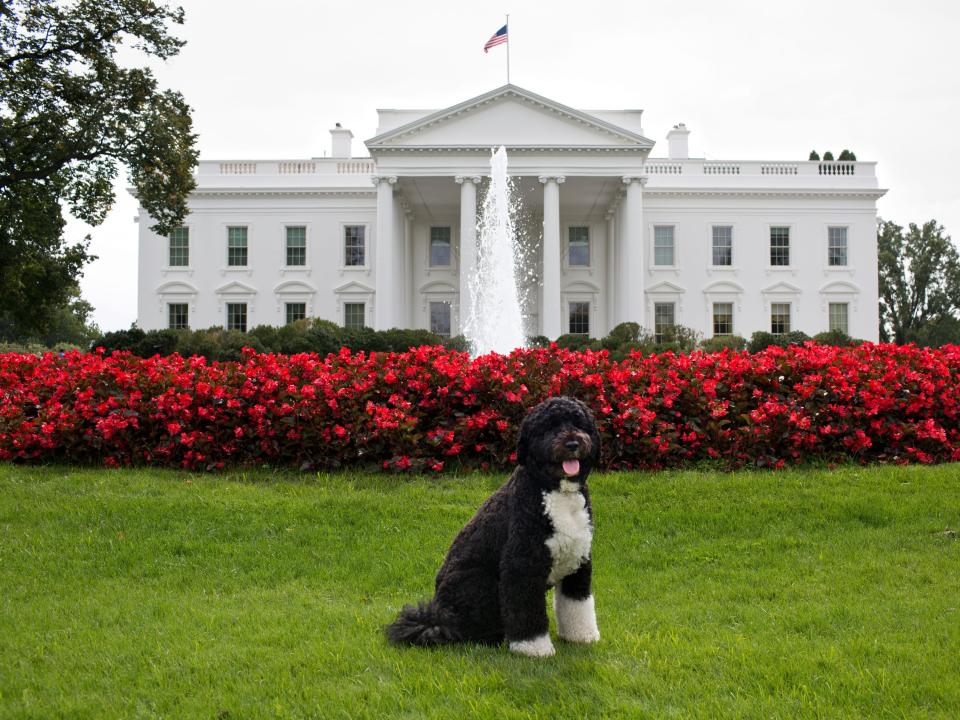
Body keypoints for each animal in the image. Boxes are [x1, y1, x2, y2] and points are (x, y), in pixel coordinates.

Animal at [384, 396, 600, 656]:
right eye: (549, 427)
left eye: (578, 423)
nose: (572, 443)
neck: (556, 492)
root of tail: (438, 617)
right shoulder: (521, 565)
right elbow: (525, 610)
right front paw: (533, 648)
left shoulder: (579, 561)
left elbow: (577, 604)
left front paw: (582, 636)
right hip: (480, 583)